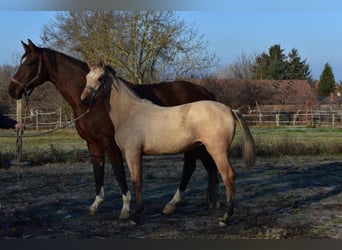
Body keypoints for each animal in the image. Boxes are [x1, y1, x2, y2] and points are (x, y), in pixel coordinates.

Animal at [9, 38, 222, 219]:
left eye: (29, 63)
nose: (12, 90)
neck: (94, 103)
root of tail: (206, 92)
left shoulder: (110, 143)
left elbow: (119, 173)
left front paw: (126, 208)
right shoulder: (93, 144)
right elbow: (98, 172)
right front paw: (95, 205)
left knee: (192, 167)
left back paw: (176, 204)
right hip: (198, 144)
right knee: (207, 166)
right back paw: (210, 202)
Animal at [81, 61, 255, 227]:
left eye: (100, 78)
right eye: (87, 77)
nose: (84, 100)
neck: (129, 113)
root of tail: (230, 110)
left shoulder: (132, 153)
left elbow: (137, 182)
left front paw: (136, 217)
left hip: (217, 151)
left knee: (228, 176)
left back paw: (225, 218)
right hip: (204, 149)